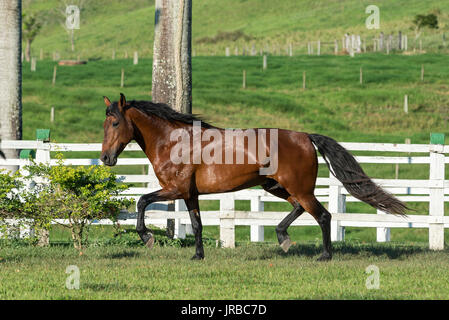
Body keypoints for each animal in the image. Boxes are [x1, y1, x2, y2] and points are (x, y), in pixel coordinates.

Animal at [99, 94, 406, 262]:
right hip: (277, 187)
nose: (105, 158)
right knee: (299, 209)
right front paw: (198, 255)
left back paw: (324, 255)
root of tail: (306, 136)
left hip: (298, 188)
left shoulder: (176, 190)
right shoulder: (191, 194)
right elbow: (197, 225)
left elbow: (141, 201)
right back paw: (283, 238)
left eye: (115, 122)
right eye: (104, 124)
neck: (174, 142)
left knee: (323, 215)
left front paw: (146, 237)